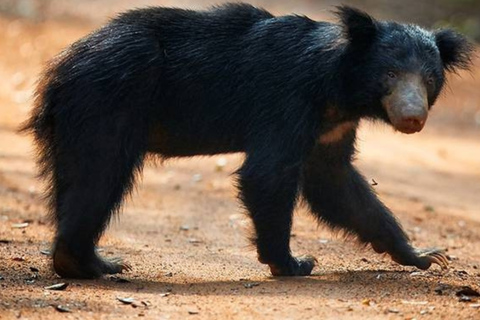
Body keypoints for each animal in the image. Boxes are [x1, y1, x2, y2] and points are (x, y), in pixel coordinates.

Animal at [23, 3, 472, 278]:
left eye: (428, 79)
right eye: (390, 75)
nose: (412, 118)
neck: (338, 89)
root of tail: (60, 66)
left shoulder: (331, 127)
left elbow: (336, 185)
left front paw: (425, 255)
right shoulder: (287, 100)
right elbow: (268, 174)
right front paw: (293, 263)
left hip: (76, 120)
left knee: (74, 179)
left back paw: (86, 262)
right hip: (109, 104)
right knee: (98, 178)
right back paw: (93, 263)